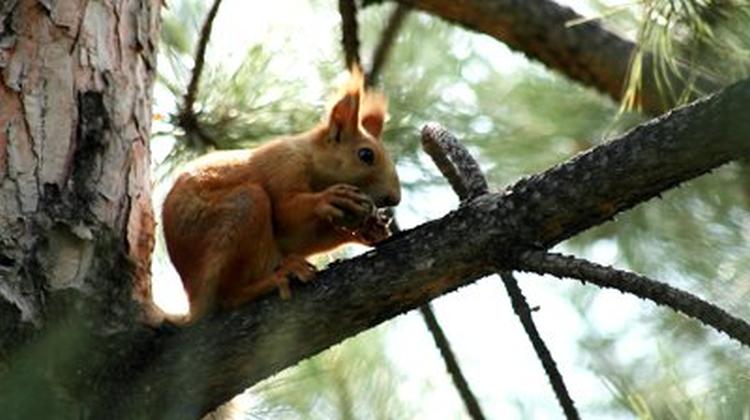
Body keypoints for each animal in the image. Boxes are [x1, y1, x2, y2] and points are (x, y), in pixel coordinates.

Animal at [162, 67, 402, 320]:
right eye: (366, 155)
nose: (395, 198)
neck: (310, 159)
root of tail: (193, 301)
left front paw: (371, 228)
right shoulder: (284, 165)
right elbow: (284, 212)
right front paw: (329, 198)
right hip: (243, 208)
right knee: (229, 296)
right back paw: (278, 277)